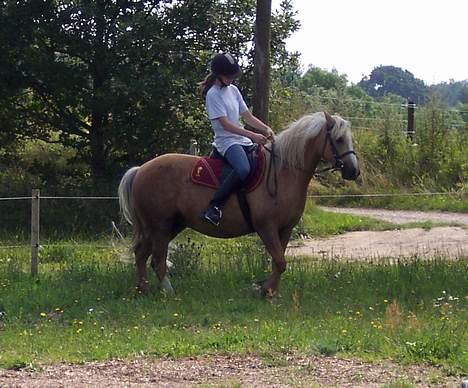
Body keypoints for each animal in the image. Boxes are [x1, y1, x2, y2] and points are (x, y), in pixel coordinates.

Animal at [119, 112, 360, 298]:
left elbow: (278, 262)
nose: (353, 171)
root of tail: (140, 170)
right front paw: (265, 290)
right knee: (157, 259)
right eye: (339, 139)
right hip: (160, 226)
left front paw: (270, 291)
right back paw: (168, 292)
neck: (283, 172)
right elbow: (280, 261)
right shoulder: (266, 227)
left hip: (169, 226)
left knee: (141, 254)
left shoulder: (285, 229)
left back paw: (142, 289)